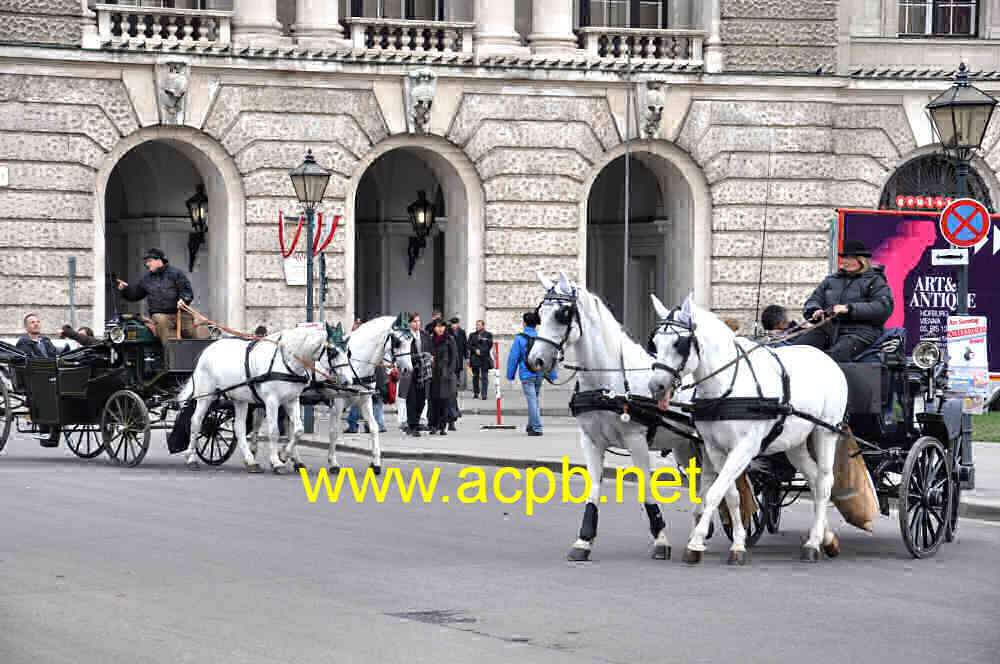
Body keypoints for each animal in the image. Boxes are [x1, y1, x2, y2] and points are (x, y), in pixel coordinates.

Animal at [178, 326, 350, 472]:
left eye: (347, 351)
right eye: (333, 352)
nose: (348, 381)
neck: (286, 361)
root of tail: (208, 349)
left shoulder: (291, 400)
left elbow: (298, 430)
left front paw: (283, 455)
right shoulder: (272, 401)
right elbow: (274, 431)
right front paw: (277, 462)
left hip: (240, 399)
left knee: (239, 428)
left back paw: (250, 461)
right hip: (206, 395)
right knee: (196, 421)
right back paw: (191, 457)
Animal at [528, 272, 700, 564]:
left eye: (563, 315)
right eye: (538, 315)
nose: (535, 360)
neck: (608, 384)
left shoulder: (636, 440)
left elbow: (646, 487)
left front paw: (660, 539)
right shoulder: (591, 440)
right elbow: (594, 488)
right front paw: (583, 541)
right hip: (685, 446)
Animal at [648, 294, 844, 564]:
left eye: (679, 343)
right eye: (656, 342)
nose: (656, 386)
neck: (726, 386)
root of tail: (826, 358)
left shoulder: (744, 448)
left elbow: (715, 492)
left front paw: (696, 542)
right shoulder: (716, 449)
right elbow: (731, 495)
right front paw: (738, 543)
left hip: (826, 431)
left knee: (824, 482)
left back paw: (813, 543)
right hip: (795, 442)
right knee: (814, 480)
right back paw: (827, 538)